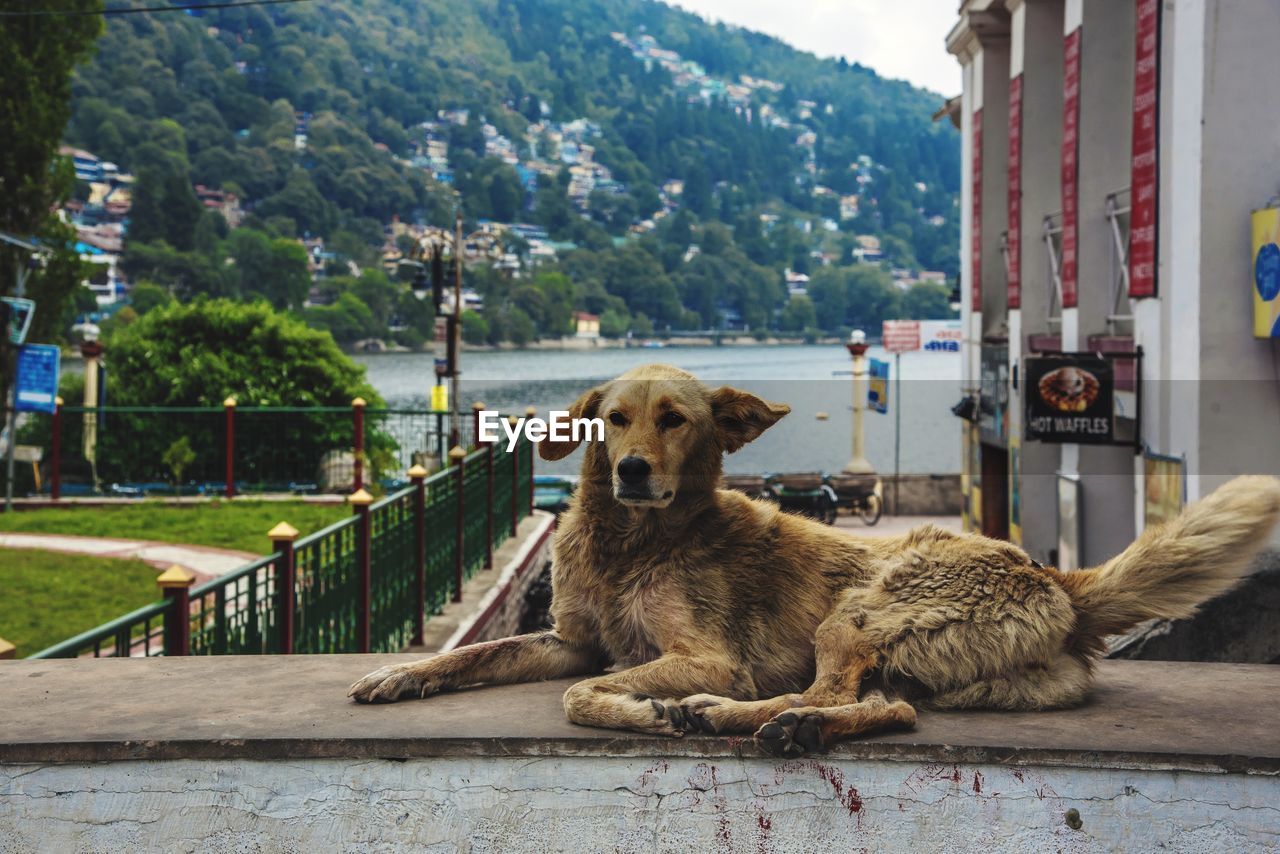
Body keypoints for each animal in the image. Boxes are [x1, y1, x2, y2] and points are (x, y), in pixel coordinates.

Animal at [348, 363, 1280, 757]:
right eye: (611, 418)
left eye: (676, 419)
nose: (632, 470)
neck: (633, 543)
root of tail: (1054, 577)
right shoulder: (570, 638)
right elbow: (483, 651)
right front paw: (400, 676)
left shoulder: (704, 654)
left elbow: (583, 694)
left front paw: (644, 713)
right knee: (885, 706)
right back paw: (782, 725)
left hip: (865, 606)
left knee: (840, 694)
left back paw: (732, 717)